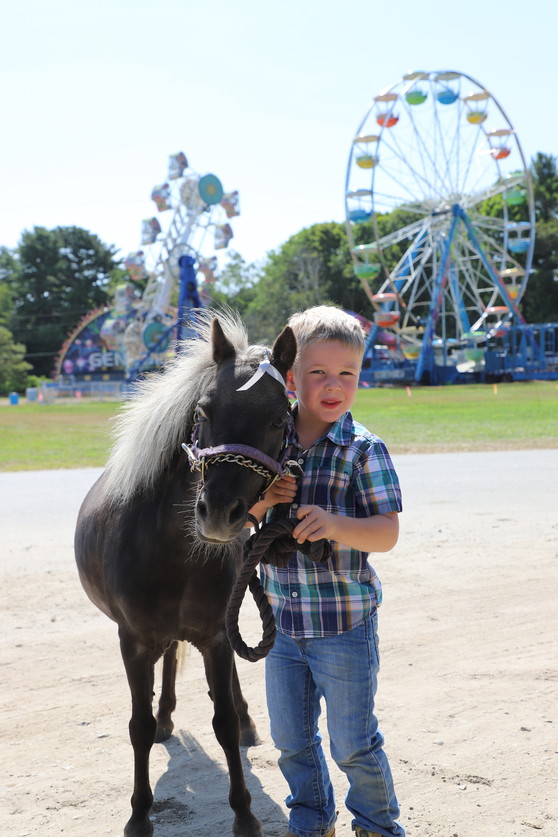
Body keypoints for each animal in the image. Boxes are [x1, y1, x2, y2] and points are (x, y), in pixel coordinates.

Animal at [76, 312, 300, 836]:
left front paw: (244, 813)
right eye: (202, 411)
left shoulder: (216, 636)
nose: (218, 513)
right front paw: (139, 815)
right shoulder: (133, 641)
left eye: (280, 419)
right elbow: (137, 727)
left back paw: (245, 722)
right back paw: (165, 719)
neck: (172, 553)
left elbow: (222, 721)